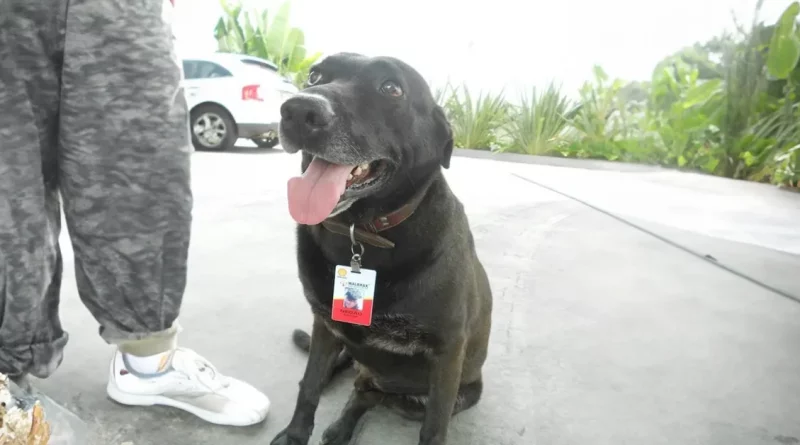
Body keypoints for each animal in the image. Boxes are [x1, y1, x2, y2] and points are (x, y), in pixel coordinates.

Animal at [272, 53, 490, 444]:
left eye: (391, 88)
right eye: (314, 75)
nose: (298, 110)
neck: (360, 232)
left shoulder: (448, 352)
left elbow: (434, 427)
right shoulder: (324, 325)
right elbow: (309, 386)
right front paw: (294, 436)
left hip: (447, 393)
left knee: (371, 393)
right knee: (358, 387)